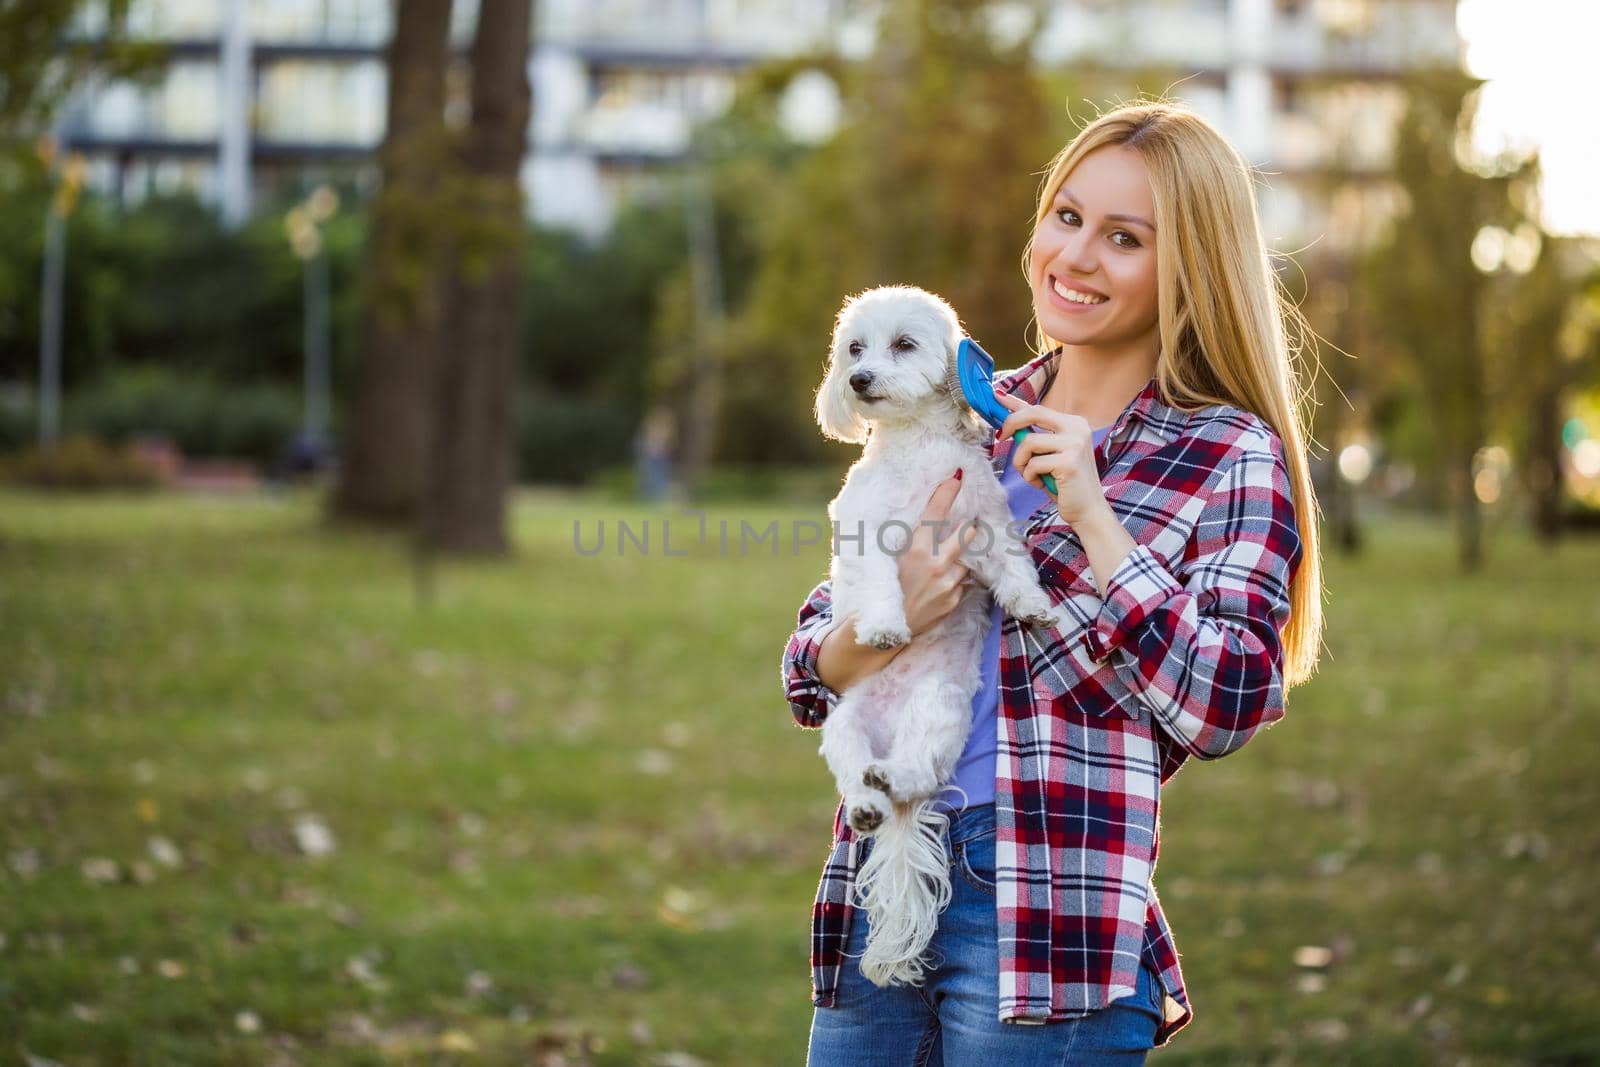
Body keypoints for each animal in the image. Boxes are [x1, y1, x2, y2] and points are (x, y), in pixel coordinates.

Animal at [812, 286, 1062, 991]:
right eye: (854, 349)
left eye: (903, 344)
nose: (859, 379)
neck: (917, 449)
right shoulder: (867, 535)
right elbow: (879, 582)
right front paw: (885, 625)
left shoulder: (986, 526)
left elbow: (1014, 567)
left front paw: (1032, 604)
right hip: (843, 728)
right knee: (857, 777)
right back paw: (868, 802)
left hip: (940, 707)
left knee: (917, 770)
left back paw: (893, 779)